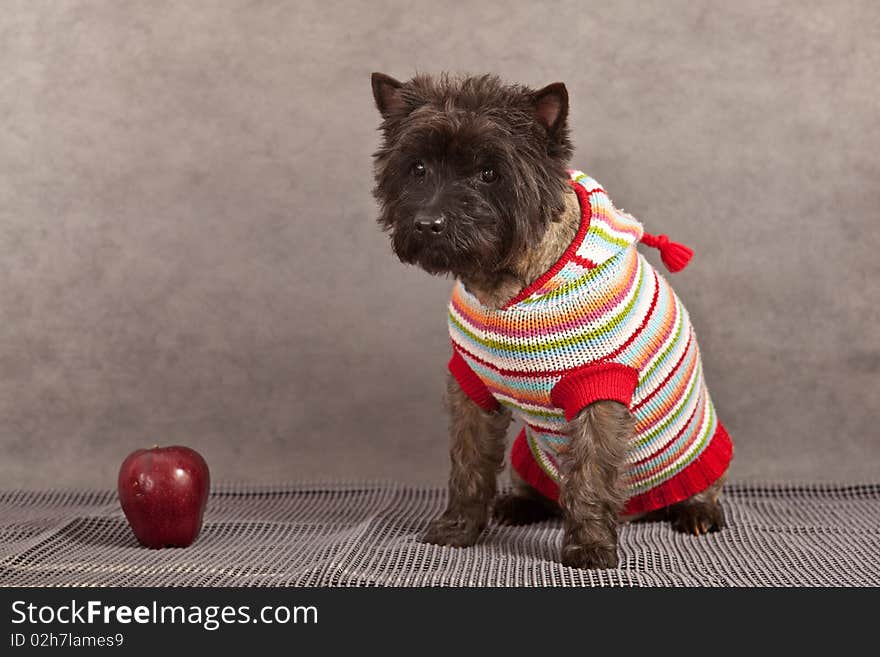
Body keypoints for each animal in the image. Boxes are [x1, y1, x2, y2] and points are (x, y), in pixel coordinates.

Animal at [368, 69, 732, 568]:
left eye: (489, 173)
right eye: (417, 167)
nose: (428, 223)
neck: (507, 290)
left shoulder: (598, 389)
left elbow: (591, 474)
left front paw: (591, 546)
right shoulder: (470, 386)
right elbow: (468, 462)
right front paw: (458, 527)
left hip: (699, 452)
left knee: (702, 486)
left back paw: (697, 510)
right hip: (530, 456)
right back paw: (519, 503)